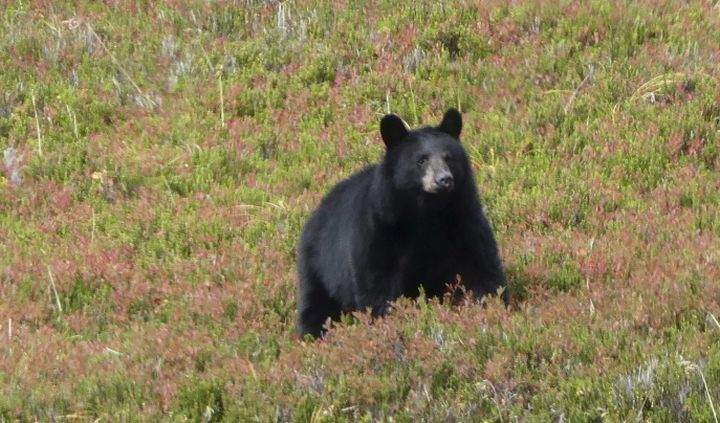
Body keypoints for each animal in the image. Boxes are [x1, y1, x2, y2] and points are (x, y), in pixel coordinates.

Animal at [296, 108, 506, 339]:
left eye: (449, 158)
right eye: (421, 160)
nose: (444, 179)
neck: (428, 214)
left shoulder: (464, 221)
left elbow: (480, 267)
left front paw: (487, 308)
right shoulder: (380, 230)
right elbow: (378, 283)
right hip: (319, 266)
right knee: (316, 305)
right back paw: (313, 334)